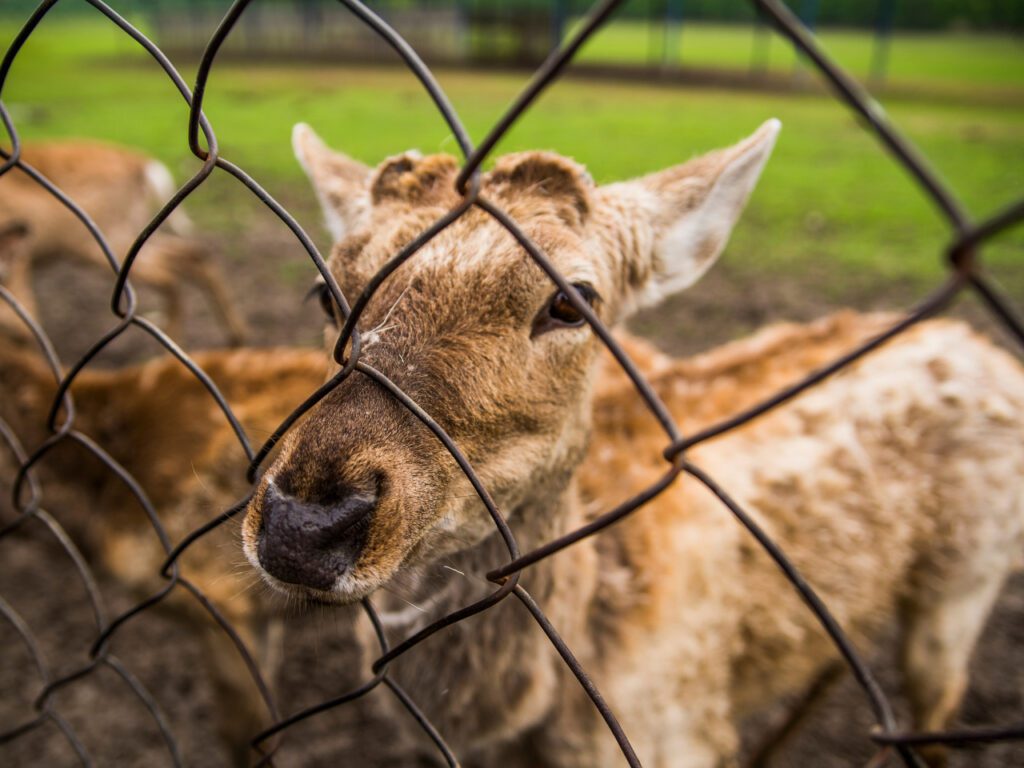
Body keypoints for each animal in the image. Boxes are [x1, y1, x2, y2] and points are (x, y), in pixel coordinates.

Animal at [0, 140, 247, 348]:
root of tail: (142, 164)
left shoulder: (18, 261)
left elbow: (26, 321)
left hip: (104, 240)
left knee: (168, 275)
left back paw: (175, 343)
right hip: (134, 231)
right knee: (194, 253)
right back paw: (234, 336)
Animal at [228, 121, 1024, 768]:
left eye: (571, 300)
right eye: (327, 293)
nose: (303, 524)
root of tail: (983, 343)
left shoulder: (680, 735)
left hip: (967, 581)